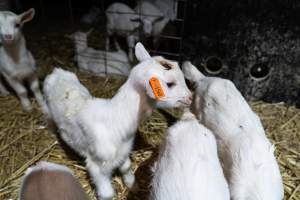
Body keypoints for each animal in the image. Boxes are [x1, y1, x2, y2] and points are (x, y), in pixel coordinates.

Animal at [43, 43, 191, 199]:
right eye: (170, 84)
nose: (190, 97)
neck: (116, 120)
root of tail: (56, 71)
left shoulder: (123, 152)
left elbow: (126, 167)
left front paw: (133, 186)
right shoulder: (97, 165)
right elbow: (107, 193)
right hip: (47, 109)